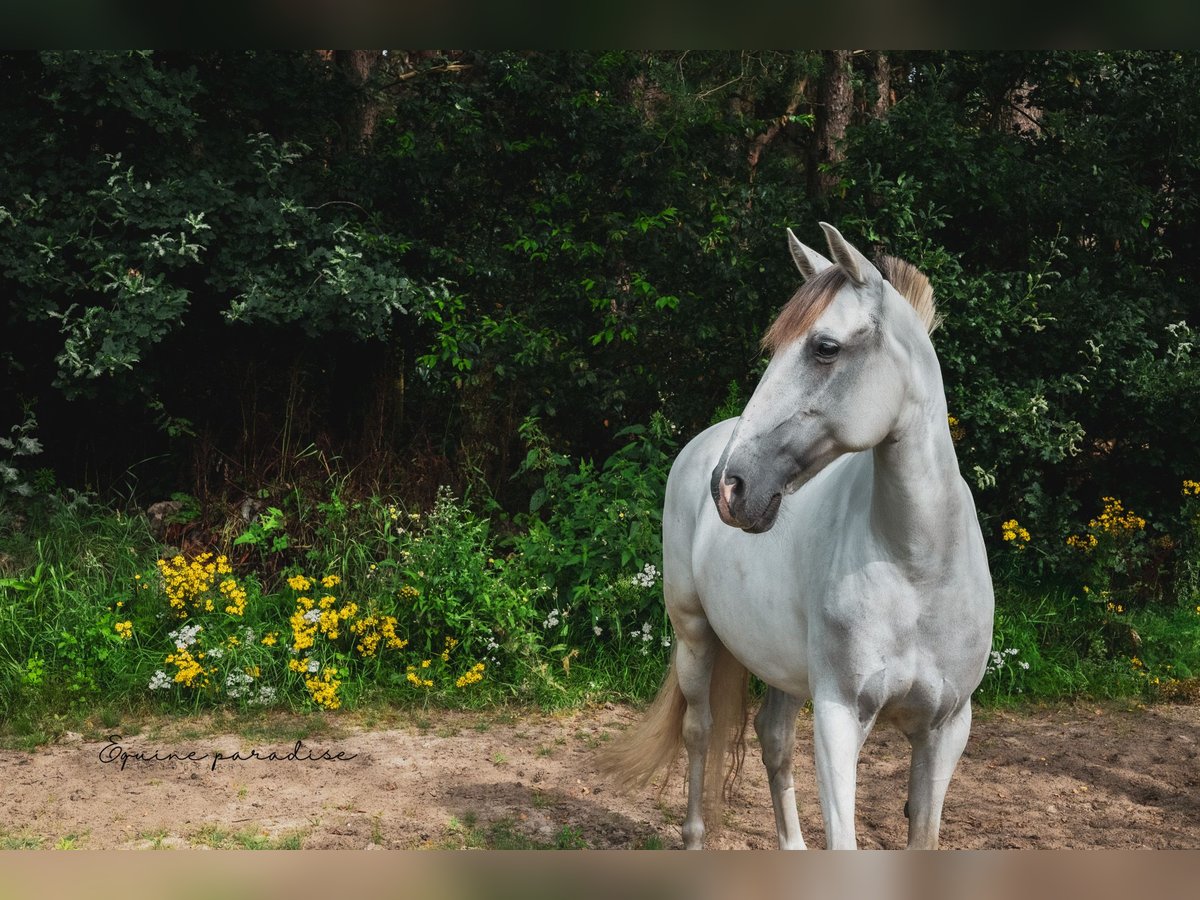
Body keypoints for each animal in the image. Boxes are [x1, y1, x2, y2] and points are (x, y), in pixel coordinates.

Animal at [600, 222, 993, 849]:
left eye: (824, 347)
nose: (730, 486)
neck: (917, 568)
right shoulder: (839, 717)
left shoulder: (947, 729)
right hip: (695, 638)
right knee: (699, 730)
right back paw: (694, 836)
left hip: (779, 662)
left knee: (773, 738)